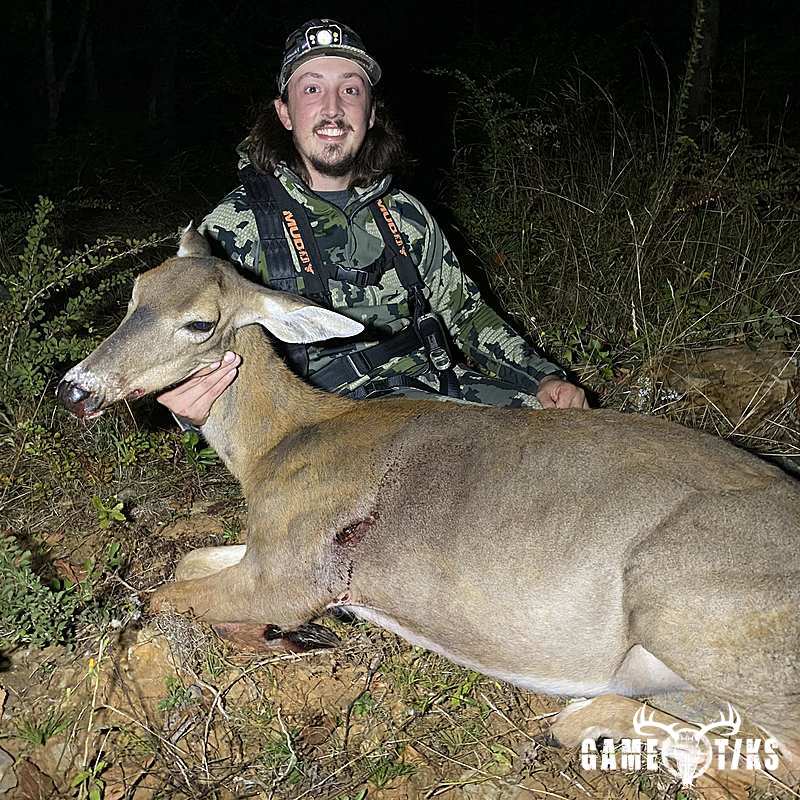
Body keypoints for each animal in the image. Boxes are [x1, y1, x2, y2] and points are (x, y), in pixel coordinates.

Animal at [58, 227, 800, 794]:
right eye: (135, 293)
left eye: (200, 322)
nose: (74, 389)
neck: (277, 446)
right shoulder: (272, 545)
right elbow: (189, 557)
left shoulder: (298, 574)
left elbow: (159, 598)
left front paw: (287, 637)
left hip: (687, 602)